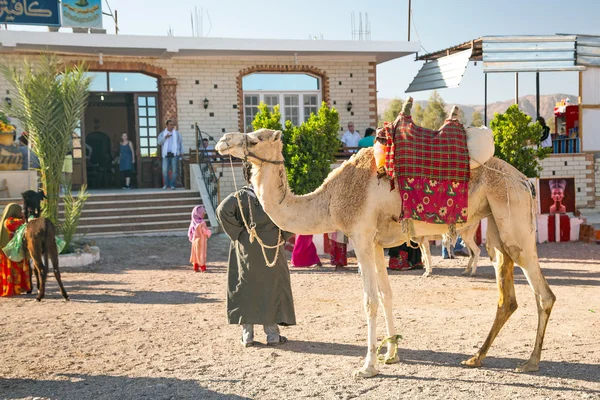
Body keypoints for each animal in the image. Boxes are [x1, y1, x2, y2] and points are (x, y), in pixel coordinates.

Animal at [214, 113, 552, 378]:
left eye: (255, 139)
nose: (222, 141)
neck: (331, 199)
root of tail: (526, 181)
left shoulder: (361, 236)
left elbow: (369, 301)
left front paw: (368, 366)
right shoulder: (376, 244)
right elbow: (387, 295)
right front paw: (391, 354)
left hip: (515, 223)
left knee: (543, 293)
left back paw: (530, 362)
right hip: (496, 226)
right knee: (506, 295)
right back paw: (475, 357)